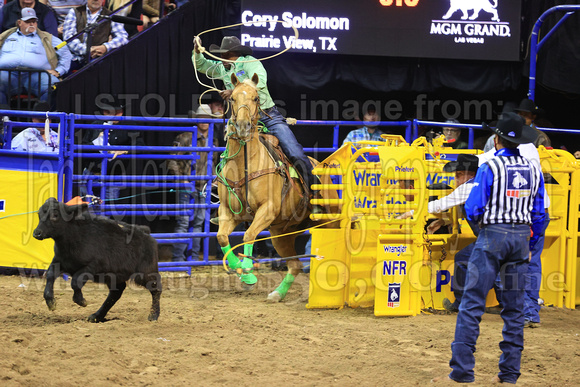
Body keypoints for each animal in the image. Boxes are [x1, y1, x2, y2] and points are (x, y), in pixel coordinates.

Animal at [216, 73, 336, 304]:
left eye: (255, 98)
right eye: (232, 98)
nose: (243, 125)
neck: (246, 163)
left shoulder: (268, 209)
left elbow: (248, 235)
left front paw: (247, 272)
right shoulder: (228, 211)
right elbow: (222, 237)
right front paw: (238, 269)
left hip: (330, 222)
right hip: (281, 233)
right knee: (295, 265)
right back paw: (276, 294)